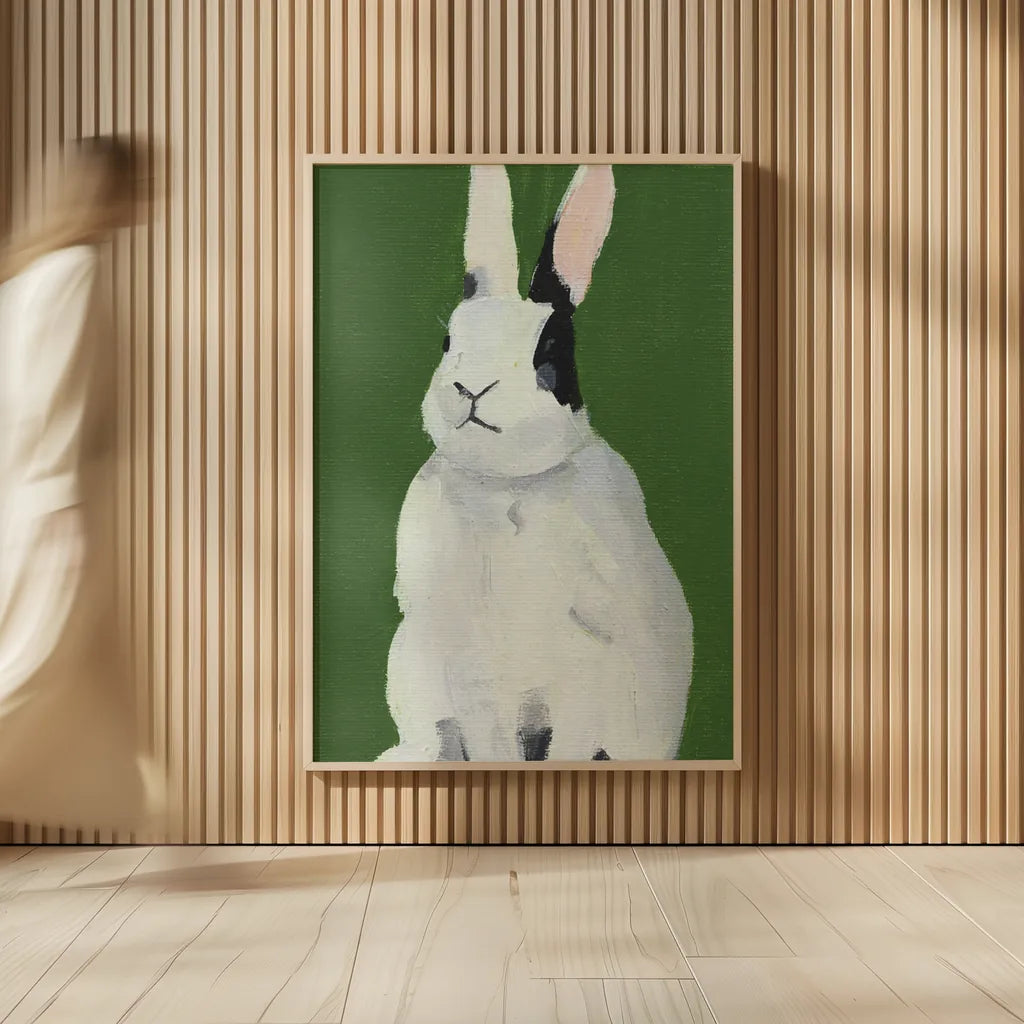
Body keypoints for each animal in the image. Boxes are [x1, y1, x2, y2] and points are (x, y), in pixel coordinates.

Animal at [377, 164, 693, 763]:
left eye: (550, 349)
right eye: (449, 340)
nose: (472, 388)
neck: (507, 485)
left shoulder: (582, 665)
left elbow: (565, 738)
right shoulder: (469, 667)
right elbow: (487, 737)